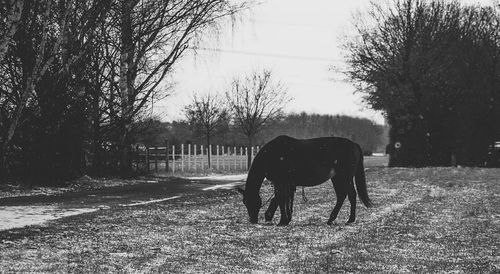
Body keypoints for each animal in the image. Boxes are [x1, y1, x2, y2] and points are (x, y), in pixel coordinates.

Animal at [236, 135, 374, 227]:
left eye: (249, 201)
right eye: (244, 202)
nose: (253, 220)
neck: (271, 154)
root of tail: (354, 144)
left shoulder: (280, 182)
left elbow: (280, 198)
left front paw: (281, 220)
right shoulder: (288, 183)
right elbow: (284, 199)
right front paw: (284, 218)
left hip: (344, 177)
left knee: (349, 195)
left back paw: (345, 219)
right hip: (338, 178)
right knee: (344, 195)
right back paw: (337, 219)